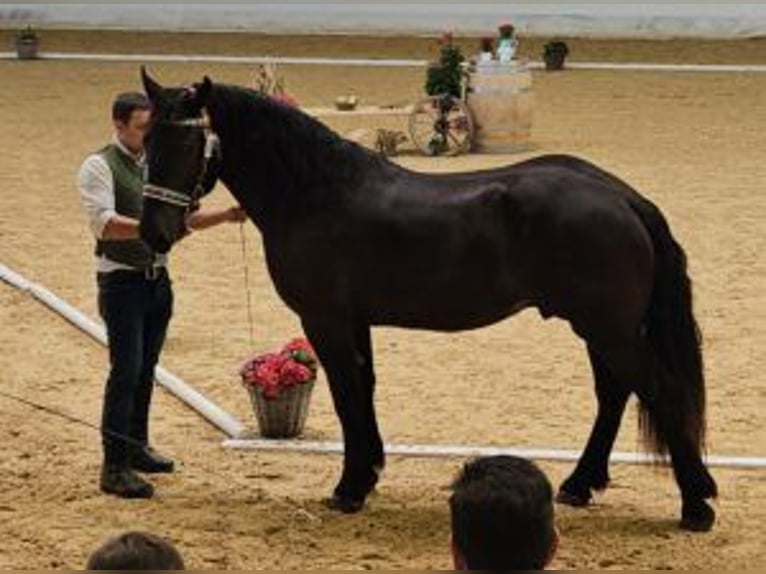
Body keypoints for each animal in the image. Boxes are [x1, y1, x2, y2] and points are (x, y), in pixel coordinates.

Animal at [138, 70, 720, 532]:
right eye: (146, 142)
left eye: (186, 145)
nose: (153, 232)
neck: (315, 192)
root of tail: (622, 197)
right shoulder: (355, 321)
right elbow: (365, 391)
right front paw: (368, 474)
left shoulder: (325, 320)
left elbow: (348, 397)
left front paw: (348, 489)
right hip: (600, 327)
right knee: (615, 393)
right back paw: (580, 484)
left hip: (607, 327)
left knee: (660, 392)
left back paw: (696, 506)